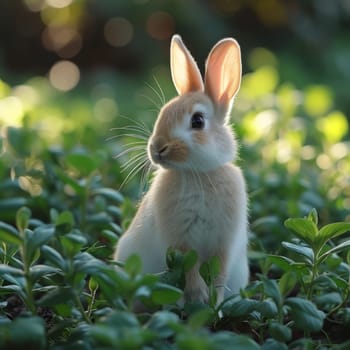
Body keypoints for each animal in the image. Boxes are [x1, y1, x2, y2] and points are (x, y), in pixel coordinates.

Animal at [115, 34, 249, 304]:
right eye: (163, 113)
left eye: (198, 121)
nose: (157, 148)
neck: (198, 174)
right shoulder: (179, 239)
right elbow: (190, 267)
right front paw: (198, 296)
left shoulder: (224, 242)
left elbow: (218, 272)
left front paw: (214, 302)